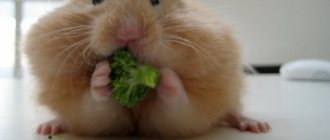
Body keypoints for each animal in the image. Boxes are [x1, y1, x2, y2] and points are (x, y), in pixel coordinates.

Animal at [24, 0, 270, 138]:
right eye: (95, 0)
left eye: (155, 0)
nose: (128, 33)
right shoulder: (96, 119)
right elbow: (95, 103)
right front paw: (101, 74)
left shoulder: (181, 119)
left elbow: (177, 102)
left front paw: (166, 77)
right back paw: (47, 128)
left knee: (232, 111)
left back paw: (256, 125)